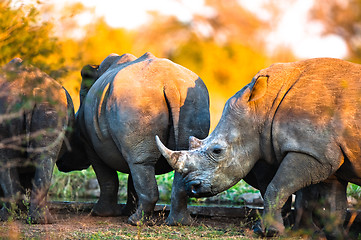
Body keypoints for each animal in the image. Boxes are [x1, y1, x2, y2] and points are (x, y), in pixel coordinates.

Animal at [54, 52, 210, 225]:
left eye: (72, 139)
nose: (60, 163)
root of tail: (171, 84)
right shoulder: (128, 142)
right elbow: (132, 181)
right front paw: (126, 211)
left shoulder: (91, 145)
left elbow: (108, 179)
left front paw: (100, 214)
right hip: (193, 99)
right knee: (161, 163)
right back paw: (178, 223)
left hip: (136, 99)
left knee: (140, 164)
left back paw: (135, 222)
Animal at [157, 57, 360, 236]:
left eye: (217, 151)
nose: (192, 187)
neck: (263, 108)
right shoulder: (329, 158)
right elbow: (335, 204)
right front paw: (335, 235)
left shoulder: (313, 152)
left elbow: (277, 186)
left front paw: (266, 232)